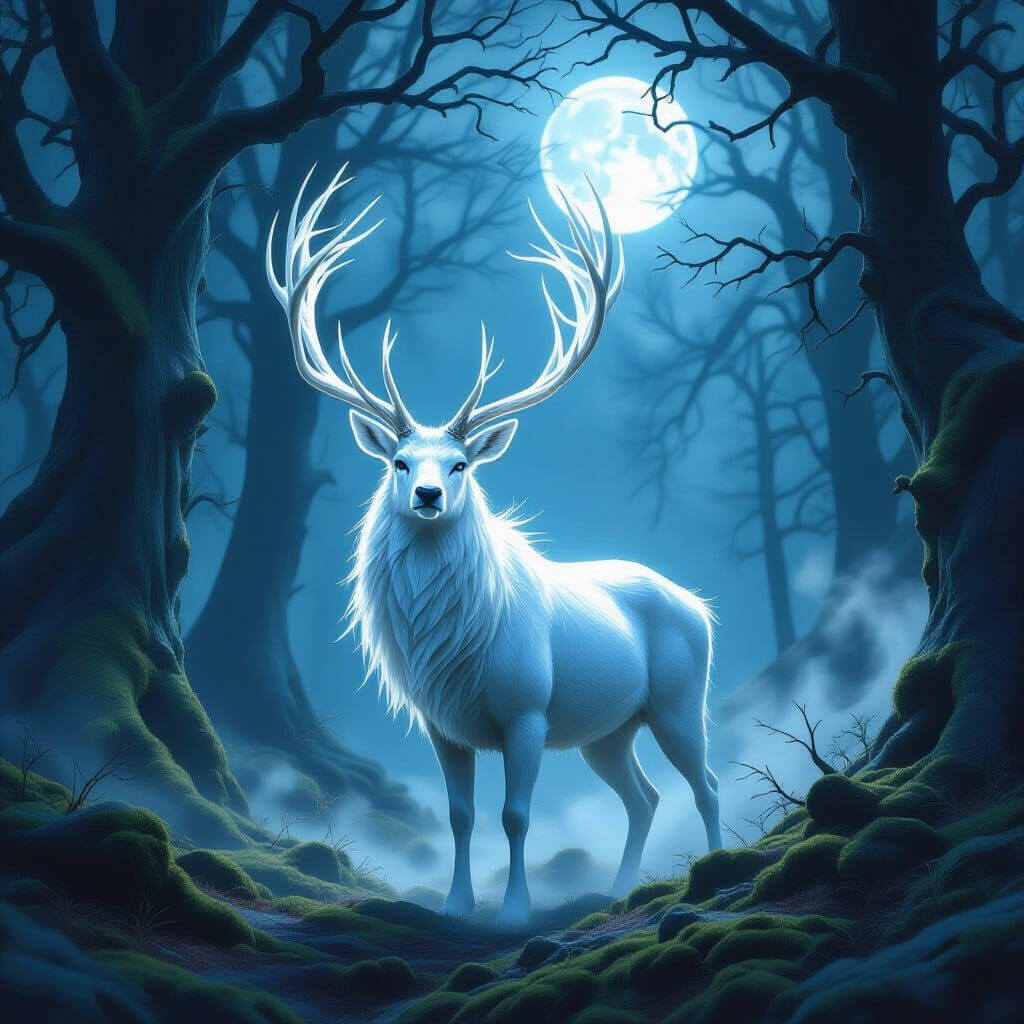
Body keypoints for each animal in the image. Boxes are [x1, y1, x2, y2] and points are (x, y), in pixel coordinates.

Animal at [266, 165, 722, 927]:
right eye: (398, 463)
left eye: (460, 465)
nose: (427, 495)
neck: (450, 645)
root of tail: (701, 607)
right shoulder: (441, 723)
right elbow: (459, 815)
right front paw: (455, 906)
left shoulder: (527, 710)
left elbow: (516, 815)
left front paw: (512, 913)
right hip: (607, 731)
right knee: (644, 796)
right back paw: (619, 889)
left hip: (679, 700)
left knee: (705, 782)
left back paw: (715, 868)